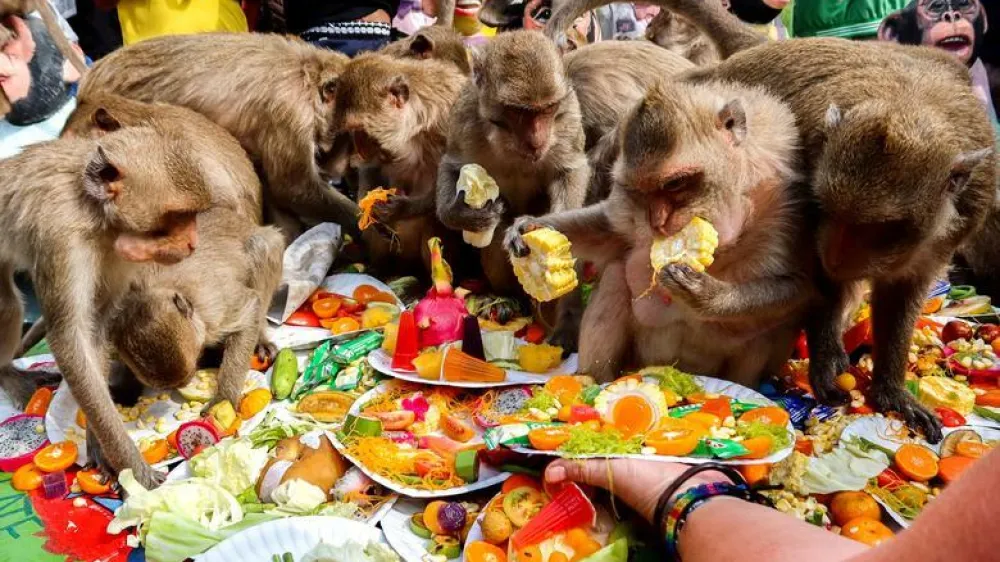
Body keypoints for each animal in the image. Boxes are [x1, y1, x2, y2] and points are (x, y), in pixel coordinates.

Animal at [0, 126, 214, 489]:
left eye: (193, 216)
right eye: (178, 216)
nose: (192, 243)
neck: (93, 212)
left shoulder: (116, 251)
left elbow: (96, 329)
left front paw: (101, 449)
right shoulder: (62, 238)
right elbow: (70, 340)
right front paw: (133, 468)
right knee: (9, 305)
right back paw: (6, 372)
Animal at [436, 30, 590, 351]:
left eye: (547, 109)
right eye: (519, 112)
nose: (537, 142)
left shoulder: (568, 116)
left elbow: (572, 170)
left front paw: (535, 225)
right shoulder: (466, 121)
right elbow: (452, 165)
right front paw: (462, 215)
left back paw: (567, 323)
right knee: (496, 242)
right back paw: (511, 299)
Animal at [504, 78, 812, 386]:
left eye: (675, 183)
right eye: (641, 190)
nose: (658, 221)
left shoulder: (785, 205)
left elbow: (797, 286)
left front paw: (706, 295)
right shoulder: (628, 205)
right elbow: (608, 230)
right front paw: (531, 226)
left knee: (770, 327)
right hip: (643, 358)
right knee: (616, 275)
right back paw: (593, 379)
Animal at [551, 0, 997, 441]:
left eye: (883, 229)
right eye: (828, 209)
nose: (659, 221)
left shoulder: (962, 206)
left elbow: (829, 287)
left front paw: (889, 388)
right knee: (616, 276)